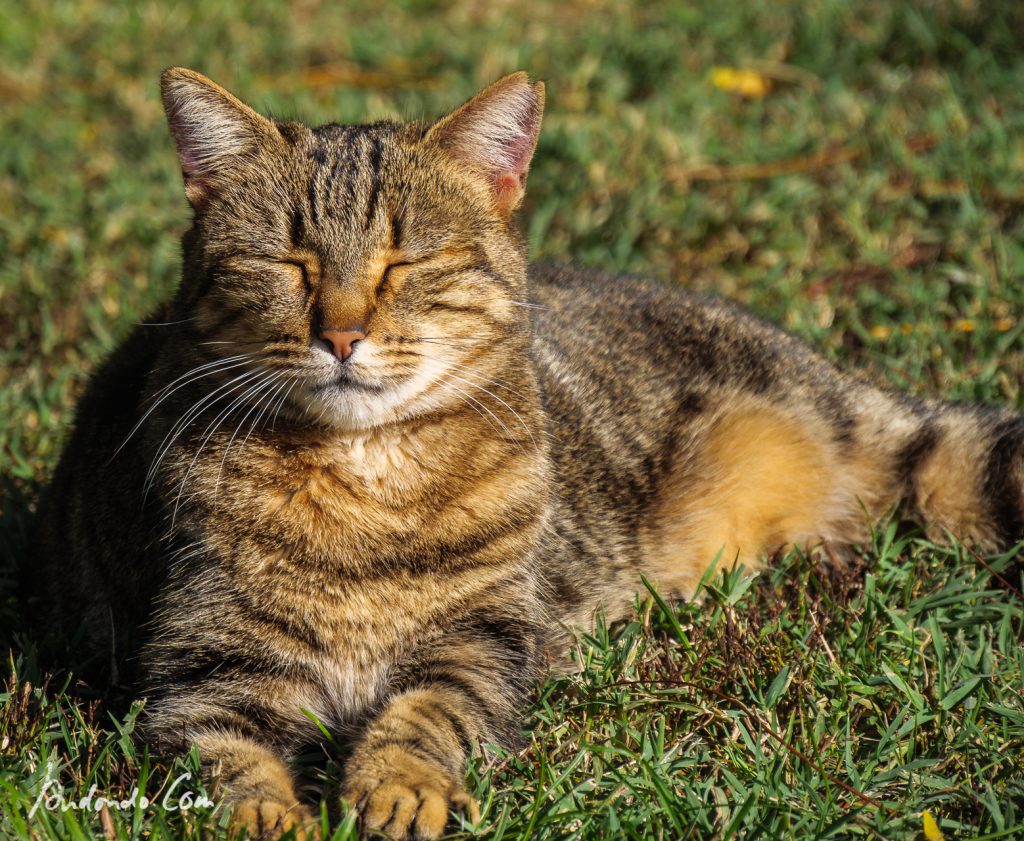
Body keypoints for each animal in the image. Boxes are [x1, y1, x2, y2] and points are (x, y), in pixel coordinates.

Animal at [32, 67, 1024, 839]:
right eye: (290, 264)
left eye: (404, 262)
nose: (341, 334)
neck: (362, 486)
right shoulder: (199, 668)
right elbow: (227, 765)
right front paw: (271, 815)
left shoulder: (483, 640)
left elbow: (426, 714)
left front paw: (399, 786)